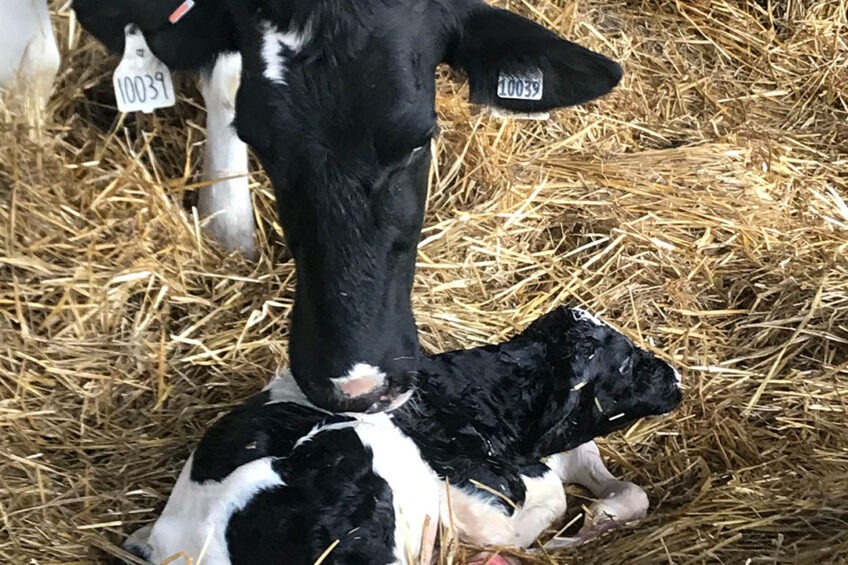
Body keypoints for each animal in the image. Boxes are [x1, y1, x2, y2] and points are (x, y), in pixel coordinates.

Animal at [114, 306, 683, 564]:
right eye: (626, 363)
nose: (677, 375)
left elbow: (630, 490)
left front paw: (601, 515)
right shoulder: (469, 492)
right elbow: (545, 510)